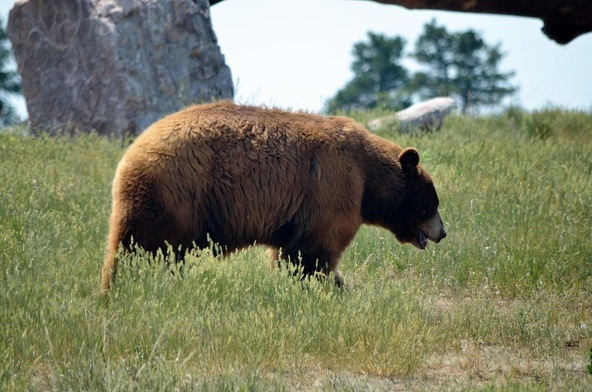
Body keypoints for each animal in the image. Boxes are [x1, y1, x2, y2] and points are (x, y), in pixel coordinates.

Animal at [100, 101, 444, 290]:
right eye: (432, 204)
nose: (442, 232)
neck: (368, 177)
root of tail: (132, 151)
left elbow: (291, 250)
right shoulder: (334, 184)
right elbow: (314, 249)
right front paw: (327, 286)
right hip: (176, 193)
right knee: (146, 246)